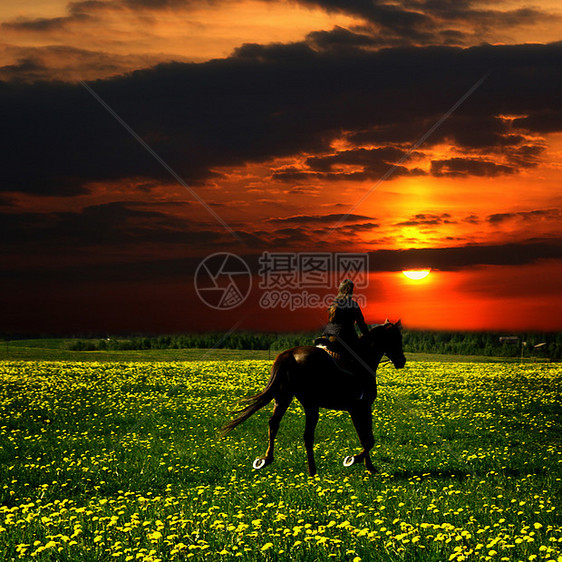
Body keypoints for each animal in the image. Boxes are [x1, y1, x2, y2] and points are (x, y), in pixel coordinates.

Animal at [220, 320, 406, 472]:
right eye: (397, 338)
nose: (402, 361)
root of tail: (289, 353)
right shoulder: (361, 407)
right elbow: (368, 439)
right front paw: (353, 460)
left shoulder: (357, 409)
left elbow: (363, 437)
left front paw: (369, 467)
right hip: (310, 404)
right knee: (307, 435)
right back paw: (312, 471)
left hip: (284, 397)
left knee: (275, 424)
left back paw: (267, 460)